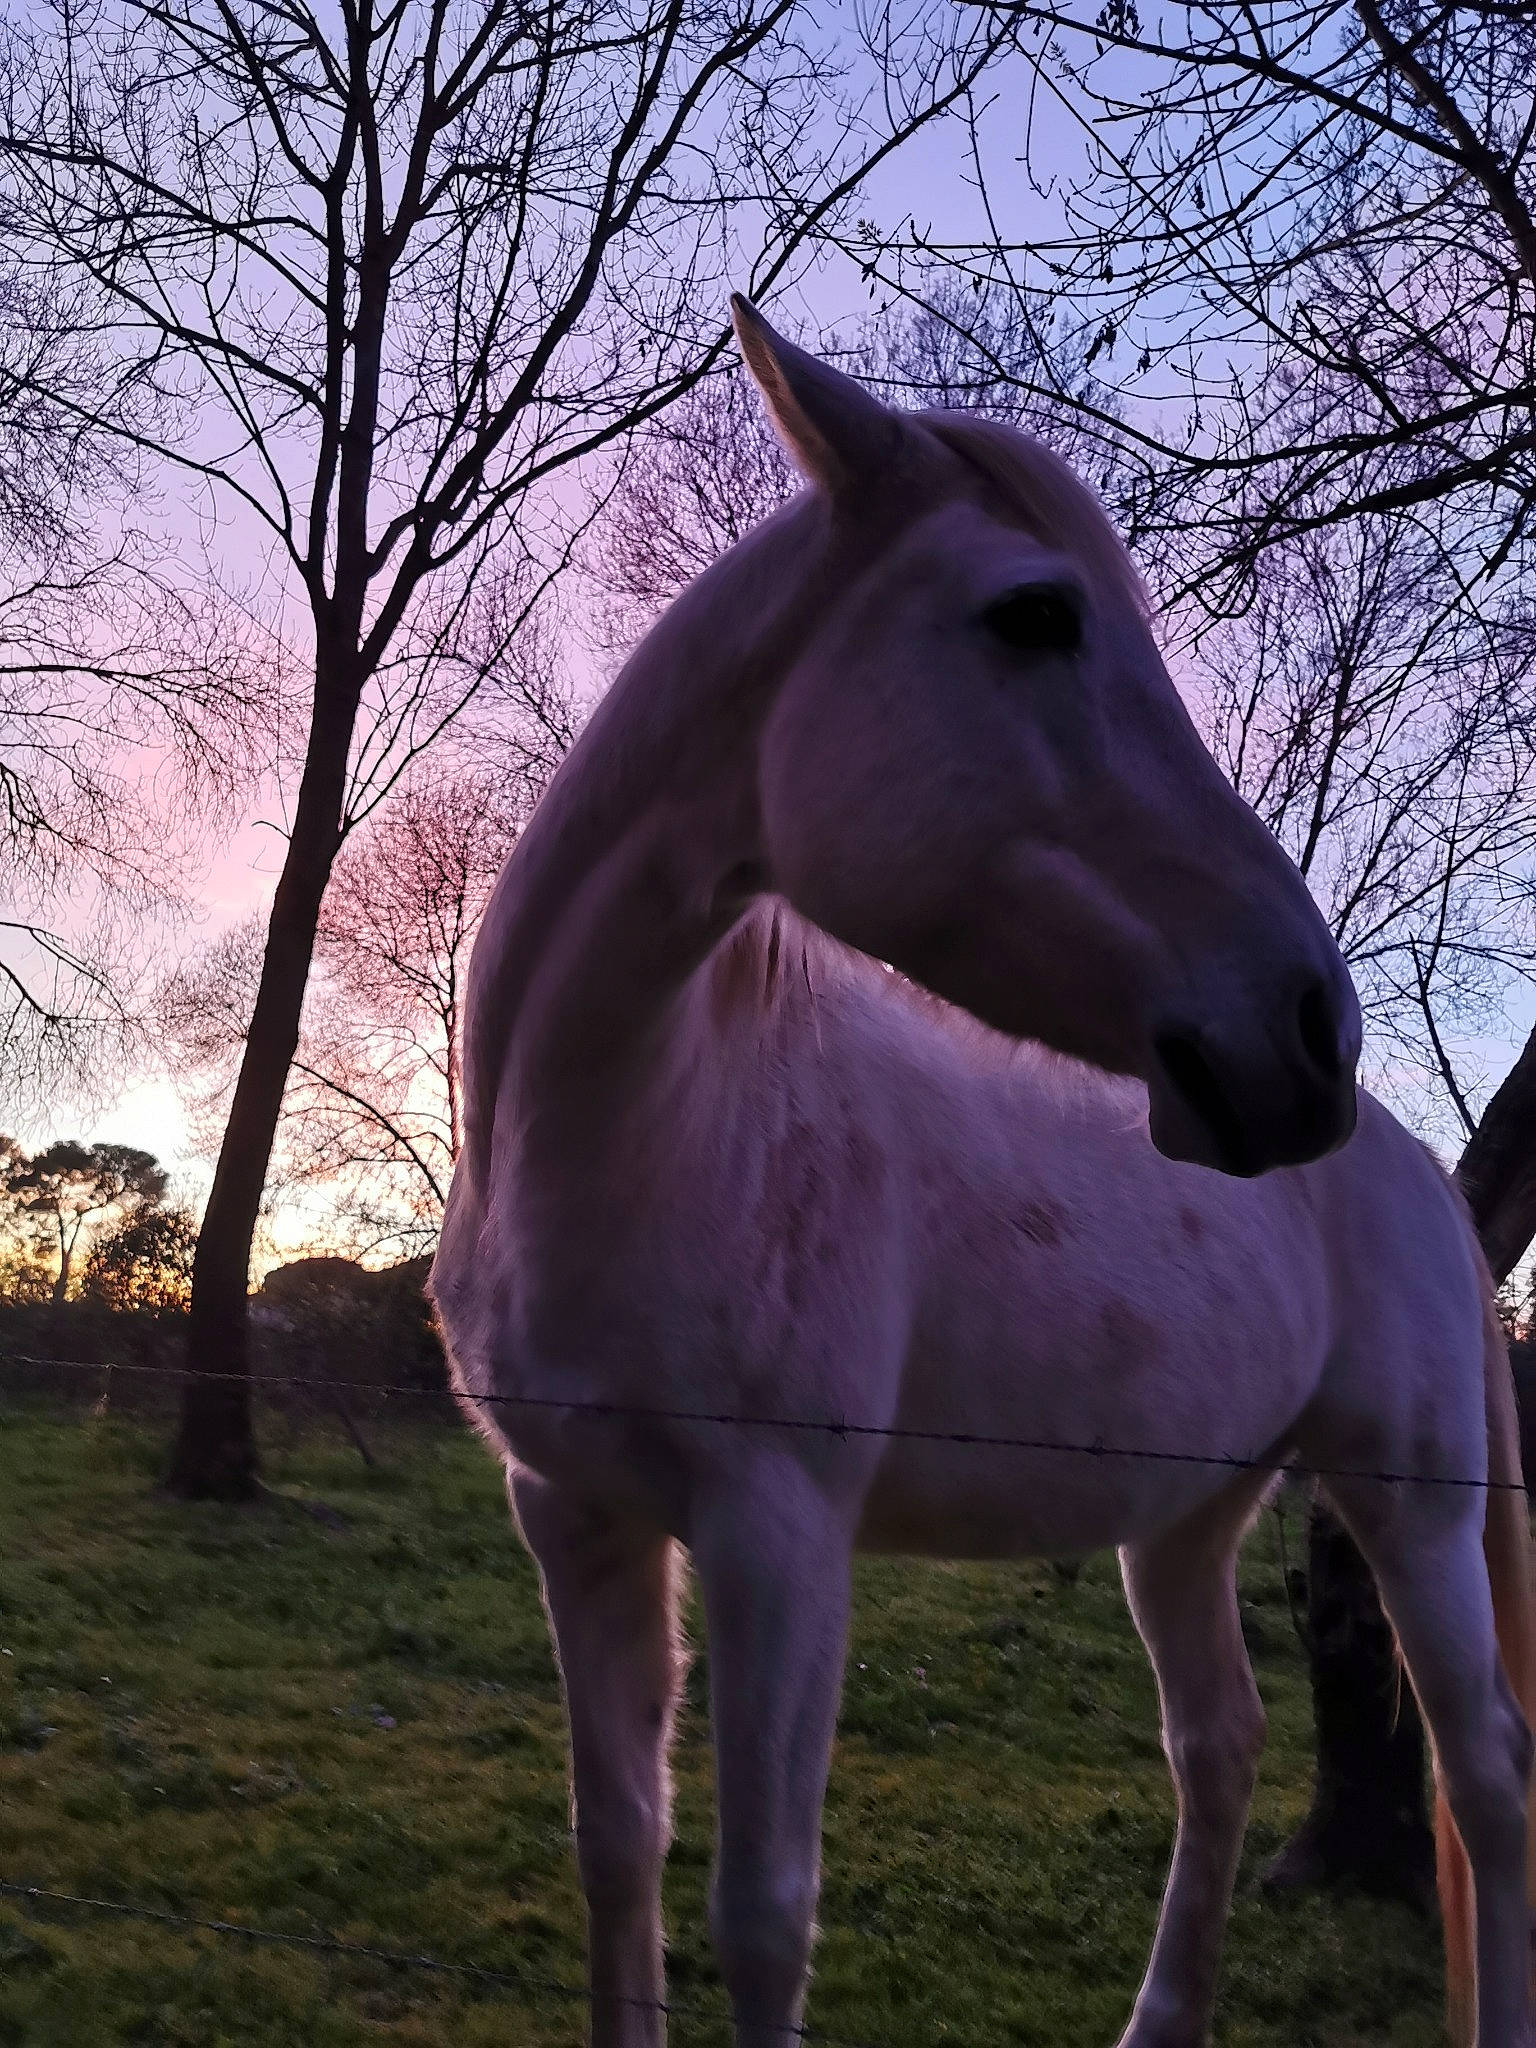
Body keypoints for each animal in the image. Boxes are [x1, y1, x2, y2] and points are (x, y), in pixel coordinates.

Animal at [430, 297, 1536, 2048]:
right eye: (1034, 616)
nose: (1307, 1031)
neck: (641, 1128)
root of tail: (1416, 1167)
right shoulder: (577, 1520)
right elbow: (616, 1855)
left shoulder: (777, 1535)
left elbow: (761, 1916)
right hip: (1190, 1516)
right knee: (1219, 1745)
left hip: (1410, 1501)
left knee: (1483, 1778)